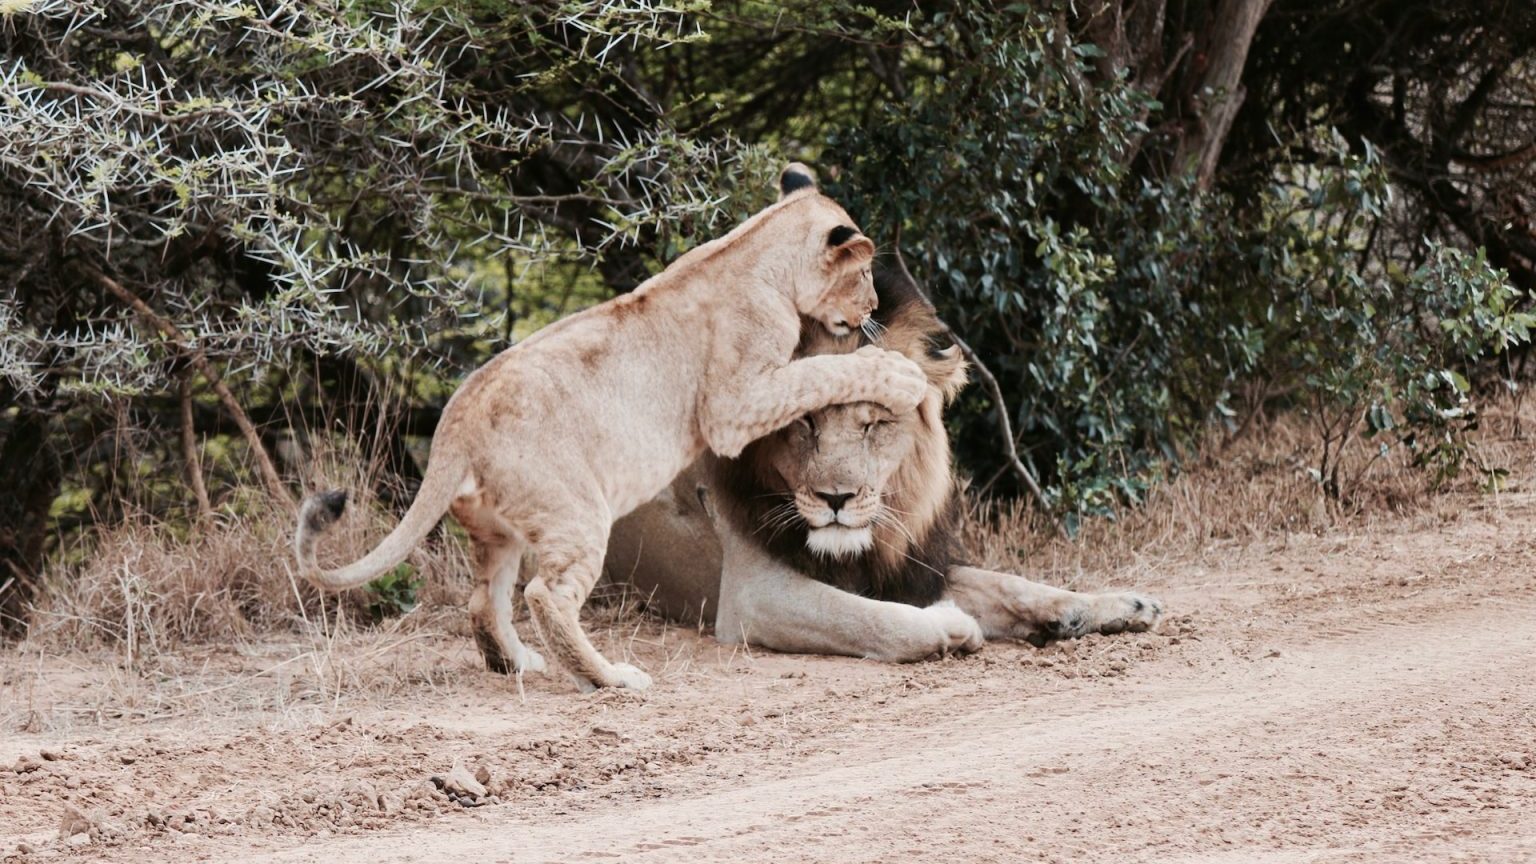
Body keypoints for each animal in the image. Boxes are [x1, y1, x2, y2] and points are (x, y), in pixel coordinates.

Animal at [294, 164, 930, 691]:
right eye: (864, 272)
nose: (873, 307)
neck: (755, 248)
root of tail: (456, 419)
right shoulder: (734, 404)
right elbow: (820, 371)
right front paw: (900, 374)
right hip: (575, 511)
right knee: (546, 596)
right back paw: (608, 678)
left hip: (499, 531)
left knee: (483, 600)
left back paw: (517, 663)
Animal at [605, 258, 1163, 661]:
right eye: (804, 422)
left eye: (873, 423)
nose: (836, 499)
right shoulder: (751, 596)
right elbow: (870, 618)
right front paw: (952, 624)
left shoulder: (913, 565)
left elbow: (1011, 584)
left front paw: (1111, 606)